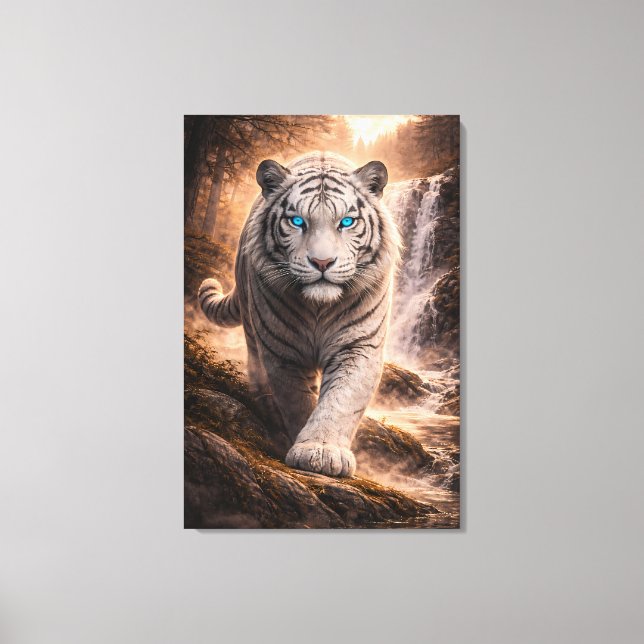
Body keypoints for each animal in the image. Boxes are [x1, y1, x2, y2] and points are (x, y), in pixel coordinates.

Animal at [198, 152, 401, 477]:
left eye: (346, 222)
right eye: (297, 221)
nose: (322, 262)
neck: (319, 307)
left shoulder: (358, 346)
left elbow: (340, 400)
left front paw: (323, 450)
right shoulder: (283, 350)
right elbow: (296, 400)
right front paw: (303, 447)